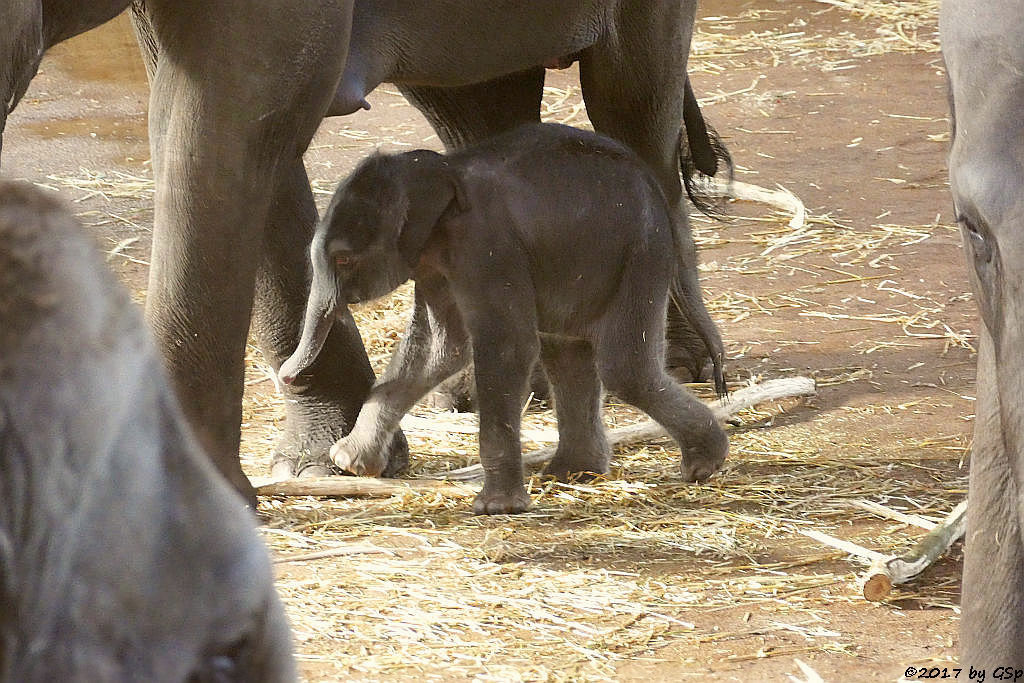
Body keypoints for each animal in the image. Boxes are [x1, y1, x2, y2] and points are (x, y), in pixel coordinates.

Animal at [280, 122, 729, 511]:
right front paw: (349, 461)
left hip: (640, 254)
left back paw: (702, 465)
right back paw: (573, 473)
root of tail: (659, 191)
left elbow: (506, 349)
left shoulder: (488, 248)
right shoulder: (435, 264)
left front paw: (495, 508)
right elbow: (439, 349)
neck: (439, 169)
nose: (284, 376)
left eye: (343, 259)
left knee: (623, 368)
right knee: (567, 356)